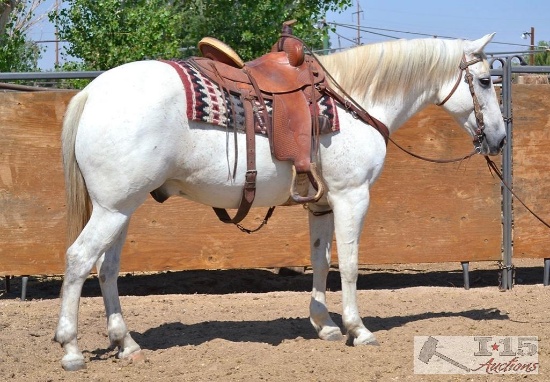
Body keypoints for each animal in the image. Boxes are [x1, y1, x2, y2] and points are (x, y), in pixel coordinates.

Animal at [54, 35, 506, 370]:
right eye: (485, 81)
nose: (500, 139)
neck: (354, 101)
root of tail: (92, 92)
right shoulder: (352, 195)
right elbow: (351, 265)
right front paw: (358, 330)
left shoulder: (322, 204)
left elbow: (322, 261)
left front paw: (324, 325)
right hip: (113, 209)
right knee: (78, 259)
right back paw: (71, 349)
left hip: (121, 209)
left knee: (107, 267)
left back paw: (126, 343)